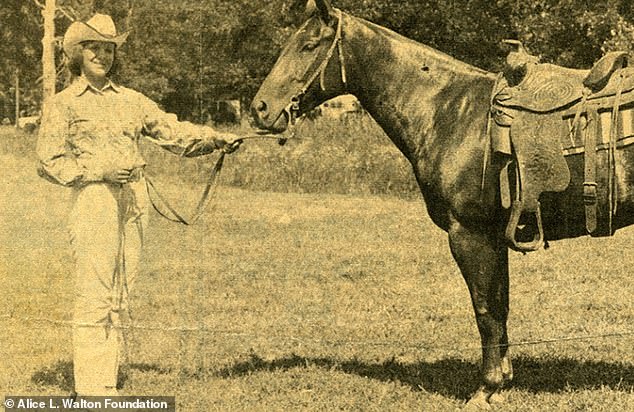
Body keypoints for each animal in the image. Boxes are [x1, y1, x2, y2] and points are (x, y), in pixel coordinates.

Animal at [248, 0, 632, 408]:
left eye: (309, 45)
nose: (261, 109)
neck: (449, 110)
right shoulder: (493, 238)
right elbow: (500, 306)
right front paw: (503, 383)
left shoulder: (469, 235)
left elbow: (485, 309)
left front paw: (487, 388)